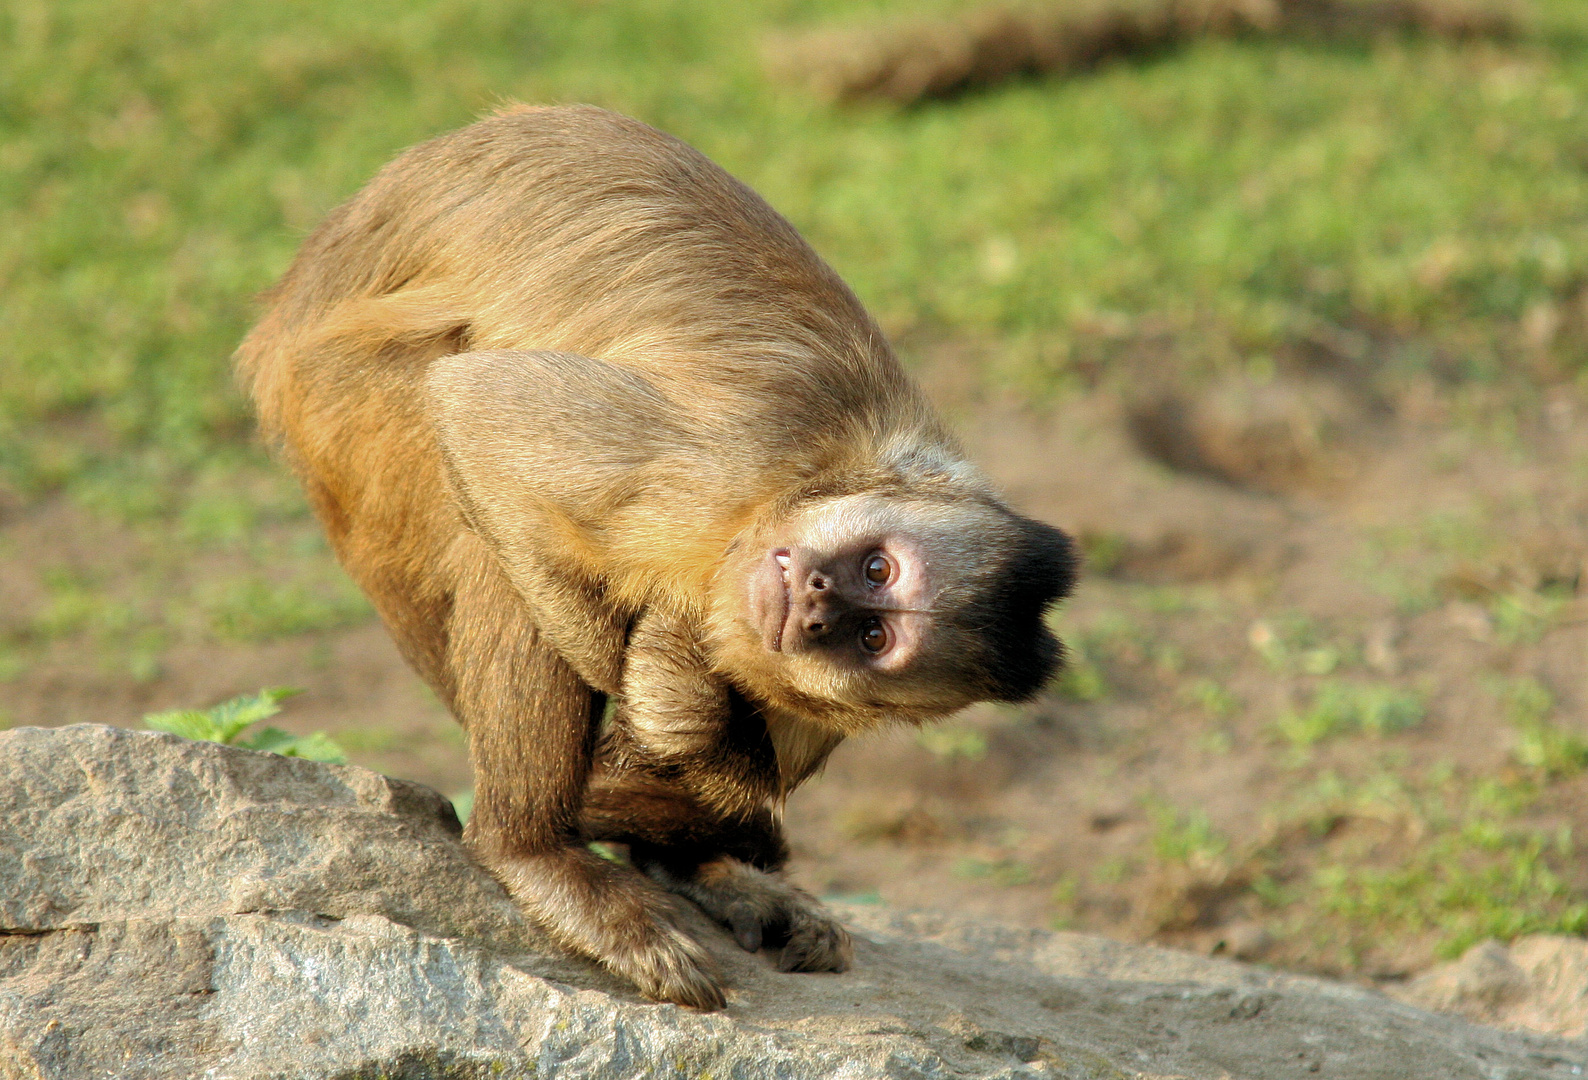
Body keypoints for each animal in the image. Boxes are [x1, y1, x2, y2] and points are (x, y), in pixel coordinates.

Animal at [235, 105, 1079, 1010]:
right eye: (877, 569)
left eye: (873, 636)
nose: (818, 599)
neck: (804, 485)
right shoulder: (730, 457)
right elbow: (474, 408)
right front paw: (661, 697)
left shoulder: (803, 683)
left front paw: (691, 816)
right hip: (342, 415)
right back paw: (532, 848)